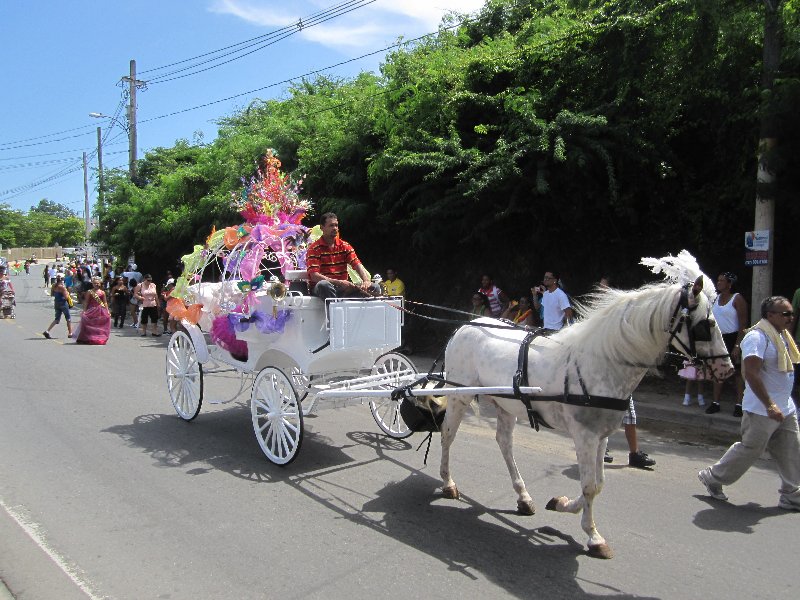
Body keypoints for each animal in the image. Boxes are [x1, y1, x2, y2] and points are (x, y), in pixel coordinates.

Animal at [440, 280, 736, 556]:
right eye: (706, 325)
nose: (728, 369)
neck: (602, 362)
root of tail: (465, 326)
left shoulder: (601, 435)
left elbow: (598, 484)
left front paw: (562, 504)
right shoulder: (584, 435)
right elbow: (589, 486)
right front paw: (593, 536)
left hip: (506, 405)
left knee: (504, 443)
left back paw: (523, 497)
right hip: (459, 396)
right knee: (447, 435)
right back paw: (448, 482)